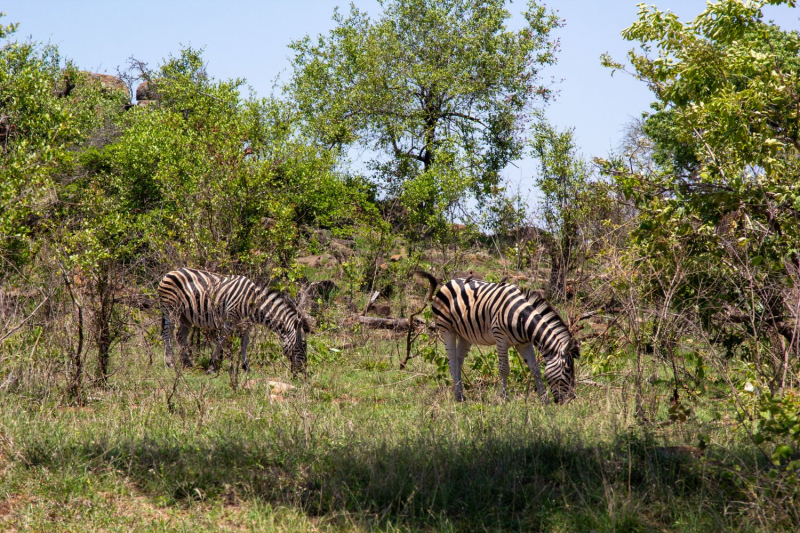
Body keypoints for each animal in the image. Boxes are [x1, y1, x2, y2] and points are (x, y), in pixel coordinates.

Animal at [157, 266, 310, 374]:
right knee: (167, 333)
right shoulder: (229, 321)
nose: (303, 370)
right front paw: (212, 366)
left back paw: (187, 364)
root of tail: (169, 272)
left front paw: (245, 366)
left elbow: (245, 343)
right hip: (170, 309)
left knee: (180, 336)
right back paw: (170, 363)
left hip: (185, 316)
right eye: (303, 344)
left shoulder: (248, 325)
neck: (252, 303)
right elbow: (221, 341)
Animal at [416, 270, 580, 404]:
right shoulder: (501, 339)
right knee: (452, 360)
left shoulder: (524, 343)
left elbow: (535, 369)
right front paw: (505, 398)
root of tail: (448, 282)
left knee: (458, 361)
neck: (521, 318)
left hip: (465, 335)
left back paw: (461, 394)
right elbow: (504, 369)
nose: (571, 399)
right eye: (567, 370)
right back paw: (458, 396)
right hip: (446, 329)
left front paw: (544, 400)